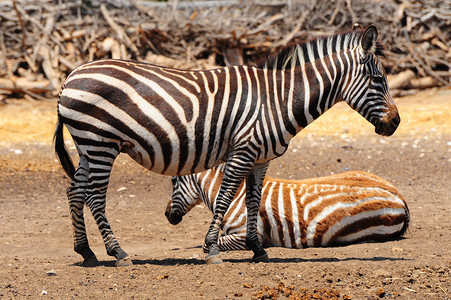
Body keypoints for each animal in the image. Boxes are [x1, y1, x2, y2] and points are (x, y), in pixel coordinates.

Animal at [165, 165, 410, 252]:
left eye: (173, 181)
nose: (167, 215)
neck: (234, 196)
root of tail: (400, 197)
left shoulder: (250, 234)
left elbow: (208, 244)